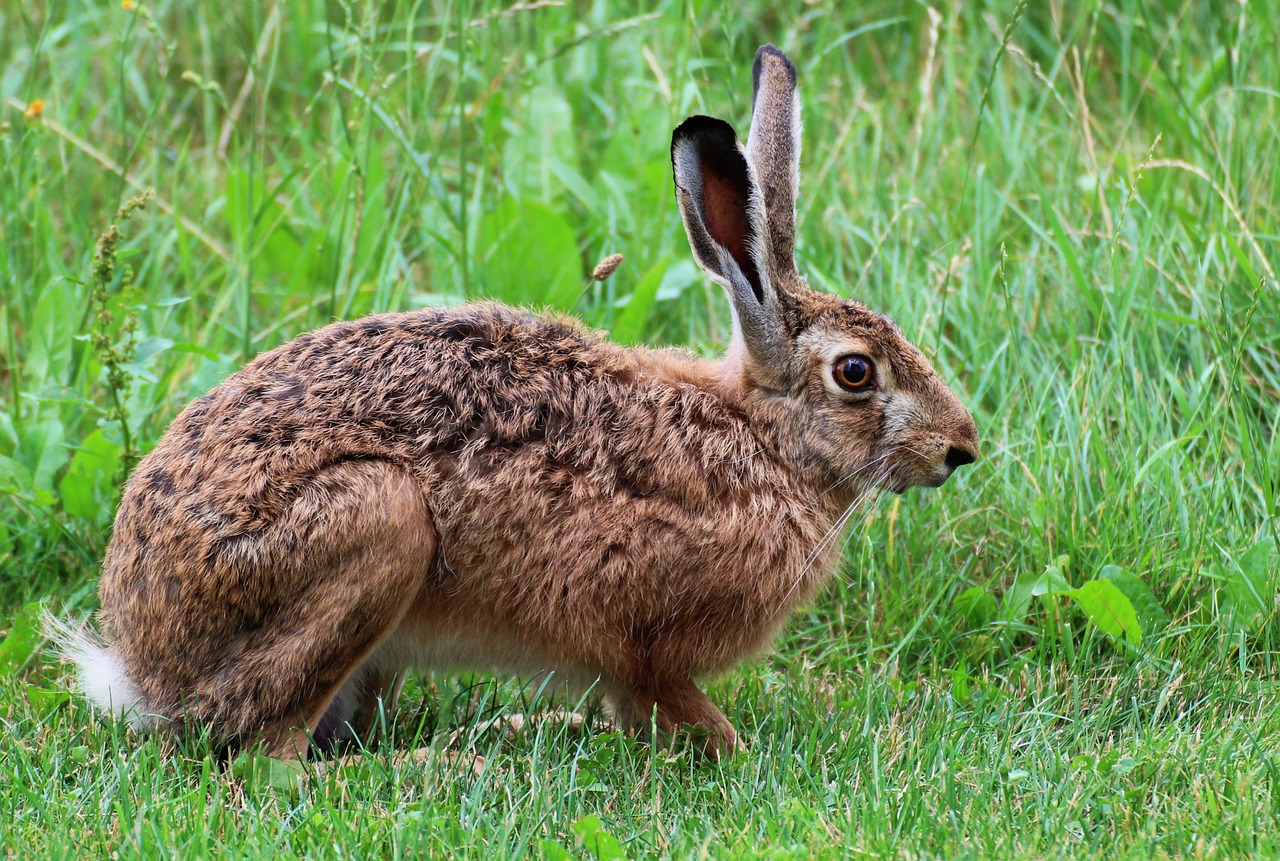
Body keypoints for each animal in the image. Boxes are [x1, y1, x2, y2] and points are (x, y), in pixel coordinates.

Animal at [48, 44, 978, 762]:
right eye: (855, 372)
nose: (961, 447)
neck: (764, 437)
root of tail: (141, 661)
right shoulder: (643, 639)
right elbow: (674, 706)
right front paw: (736, 749)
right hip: (377, 519)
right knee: (266, 754)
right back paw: (447, 762)